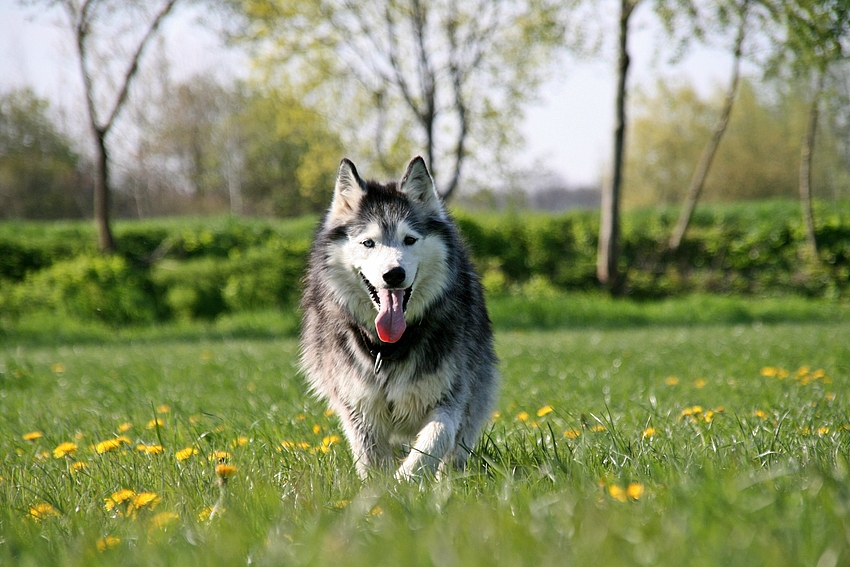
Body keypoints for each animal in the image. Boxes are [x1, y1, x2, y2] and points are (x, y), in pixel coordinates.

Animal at [300, 158, 494, 482]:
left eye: (410, 239)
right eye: (368, 243)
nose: (394, 274)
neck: (389, 347)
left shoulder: (451, 395)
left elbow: (435, 438)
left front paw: (405, 481)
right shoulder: (359, 406)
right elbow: (372, 458)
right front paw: (381, 489)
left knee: (458, 444)